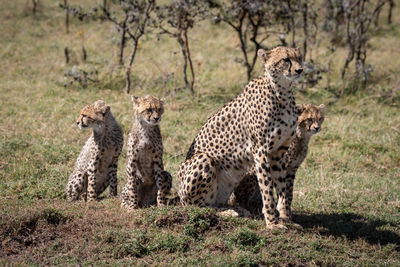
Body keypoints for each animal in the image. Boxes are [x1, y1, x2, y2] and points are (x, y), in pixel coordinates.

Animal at [178, 46, 304, 230]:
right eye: (286, 59)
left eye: (299, 58)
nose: (299, 70)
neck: (282, 92)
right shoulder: (261, 150)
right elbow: (267, 188)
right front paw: (273, 223)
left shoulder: (278, 151)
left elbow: (282, 188)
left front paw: (287, 219)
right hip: (203, 159)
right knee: (197, 207)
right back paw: (229, 212)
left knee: (211, 204)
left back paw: (235, 210)